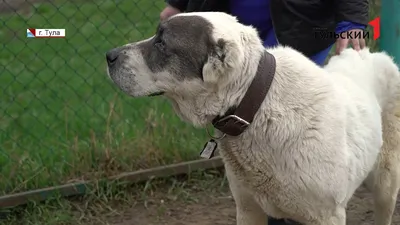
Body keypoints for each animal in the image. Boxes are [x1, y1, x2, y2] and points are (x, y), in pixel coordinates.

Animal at [105, 11, 400, 225]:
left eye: (161, 43)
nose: (109, 55)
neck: (258, 105)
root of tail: (373, 54)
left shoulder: (327, 216)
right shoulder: (248, 208)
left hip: (386, 180)